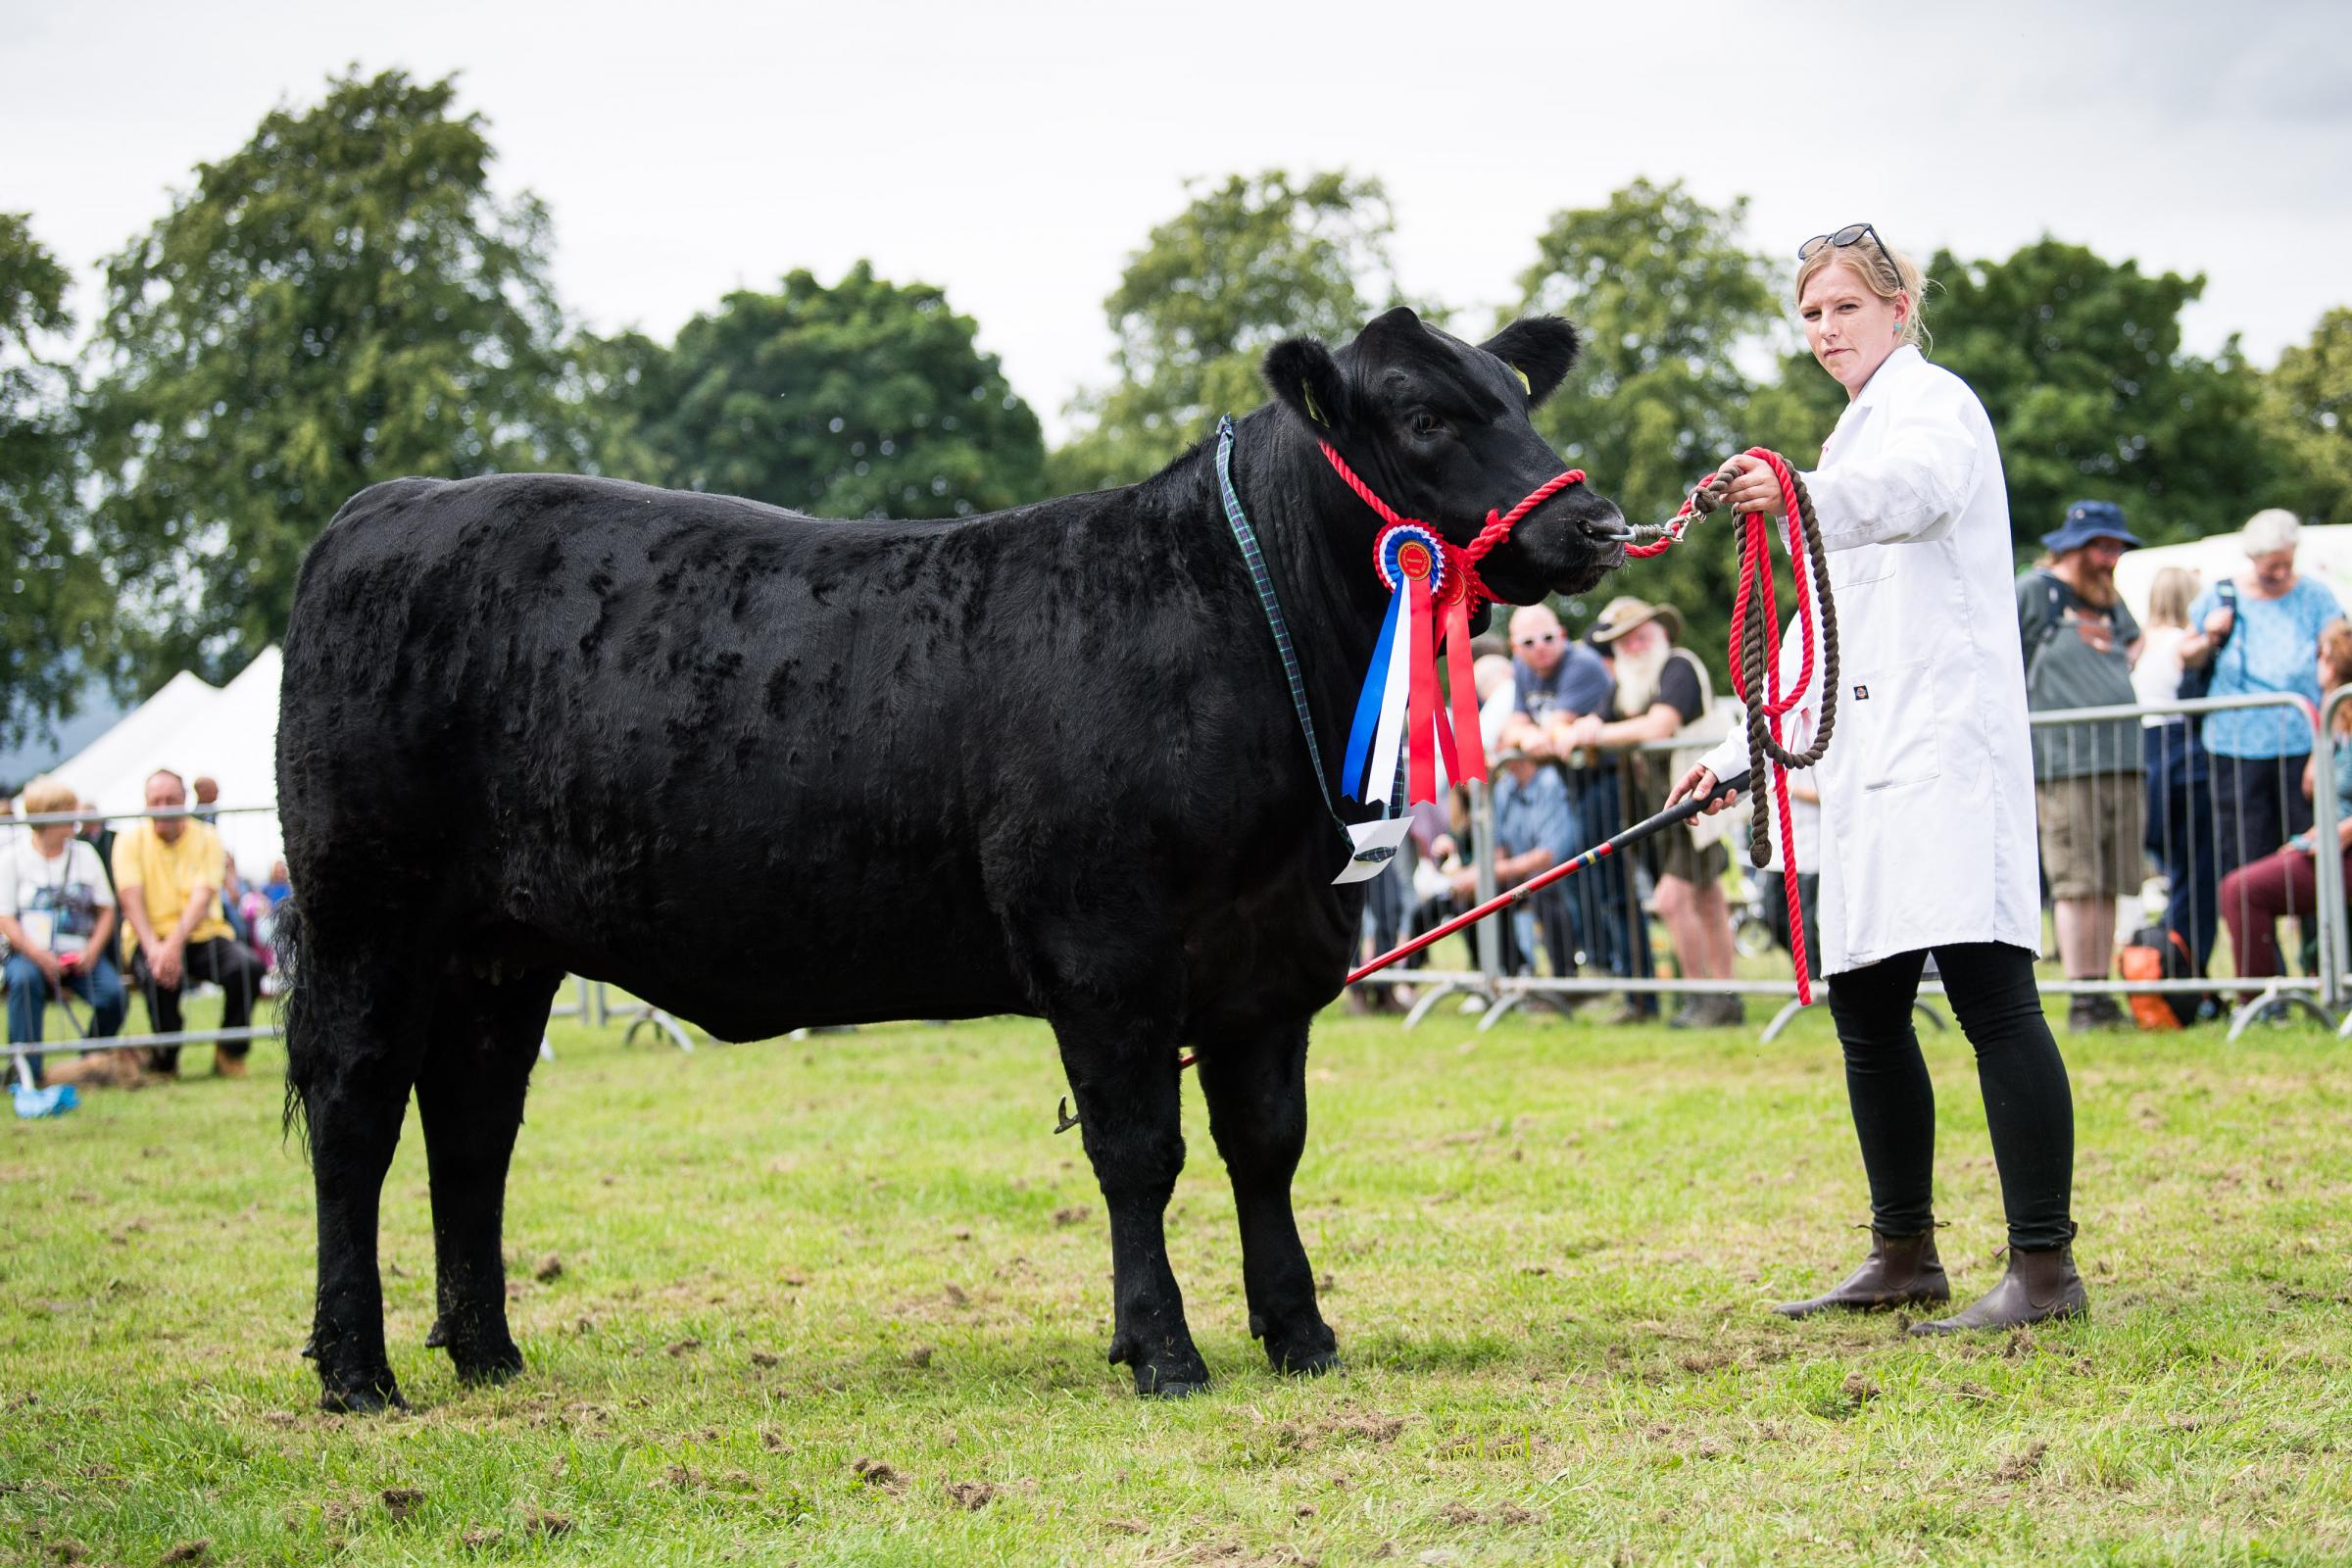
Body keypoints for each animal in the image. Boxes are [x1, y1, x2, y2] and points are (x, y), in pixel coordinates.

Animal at [274, 305, 1627, 1410]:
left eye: (1516, 398)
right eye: (1424, 415)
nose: (1599, 522)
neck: (1237, 628)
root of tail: (387, 505)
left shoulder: (1274, 957)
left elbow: (1267, 1145)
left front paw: (1301, 1335)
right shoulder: (1106, 951)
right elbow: (1140, 1154)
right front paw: (1164, 1351)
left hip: (499, 952)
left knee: (472, 1123)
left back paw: (487, 1350)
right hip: (365, 913)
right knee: (355, 1115)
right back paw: (357, 1373)